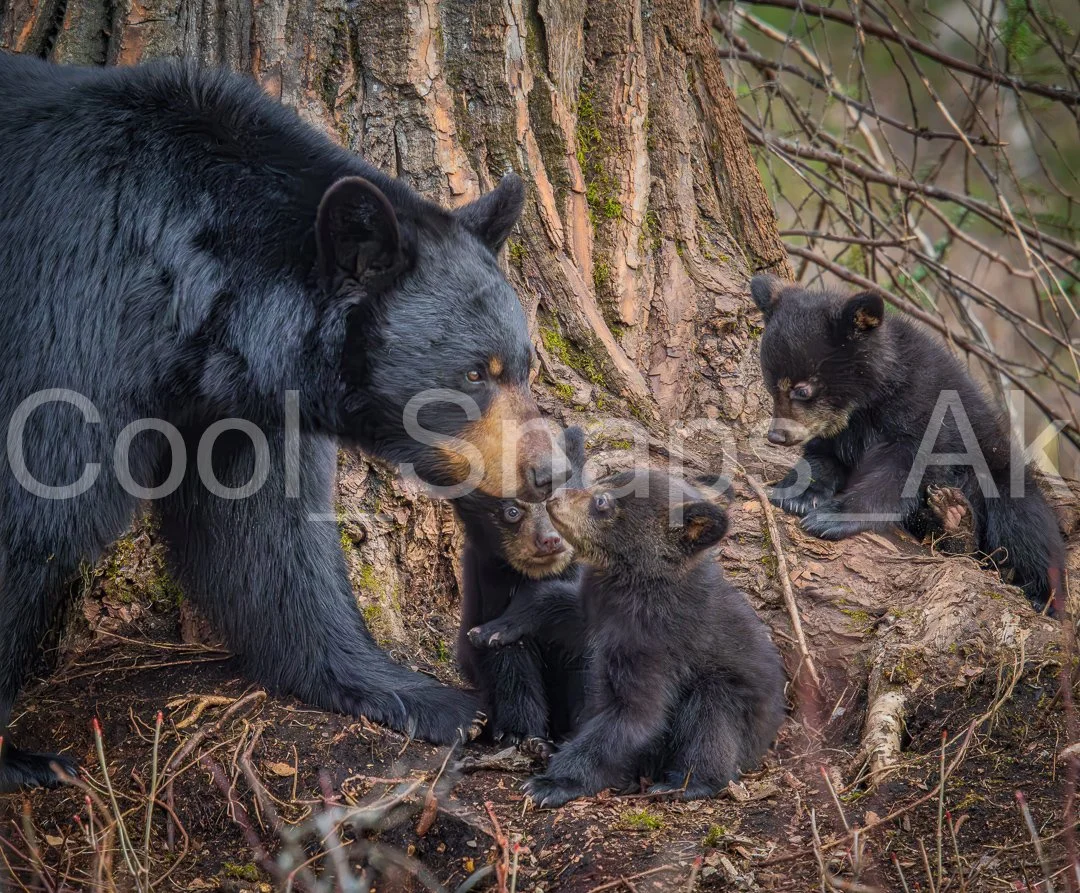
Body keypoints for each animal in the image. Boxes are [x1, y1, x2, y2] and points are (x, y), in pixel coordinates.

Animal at [0, 55, 559, 790]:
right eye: (474, 374)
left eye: (524, 365)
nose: (545, 471)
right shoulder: (65, 318)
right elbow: (35, 506)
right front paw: (23, 758)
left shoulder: (235, 400)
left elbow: (265, 531)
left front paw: (424, 697)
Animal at [453, 426, 589, 750]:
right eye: (512, 511)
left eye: (560, 498)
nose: (551, 539)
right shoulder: (491, 588)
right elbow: (508, 659)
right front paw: (523, 735)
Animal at [521, 469, 787, 807]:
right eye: (603, 480)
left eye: (601, 501)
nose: (554, 496)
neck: (635, 582)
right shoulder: (600, 611)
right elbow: (571, 616)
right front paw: (506, 623)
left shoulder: (655, 643)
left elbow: (635, 715)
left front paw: (550, 783)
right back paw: (544, 746)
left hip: (735, 704)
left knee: (712, 717)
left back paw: (687, 783)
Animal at [750, 274, 1066, 614]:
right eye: (771, 386)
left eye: (803, 390)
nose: (777, 436)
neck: (867, 403)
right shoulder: (836, 430)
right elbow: (824, 458)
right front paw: (797, 493)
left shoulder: (926, 410)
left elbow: (903, 472)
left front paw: (832, 515)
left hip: (999, 475)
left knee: (1025, 527)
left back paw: (1039, 594)